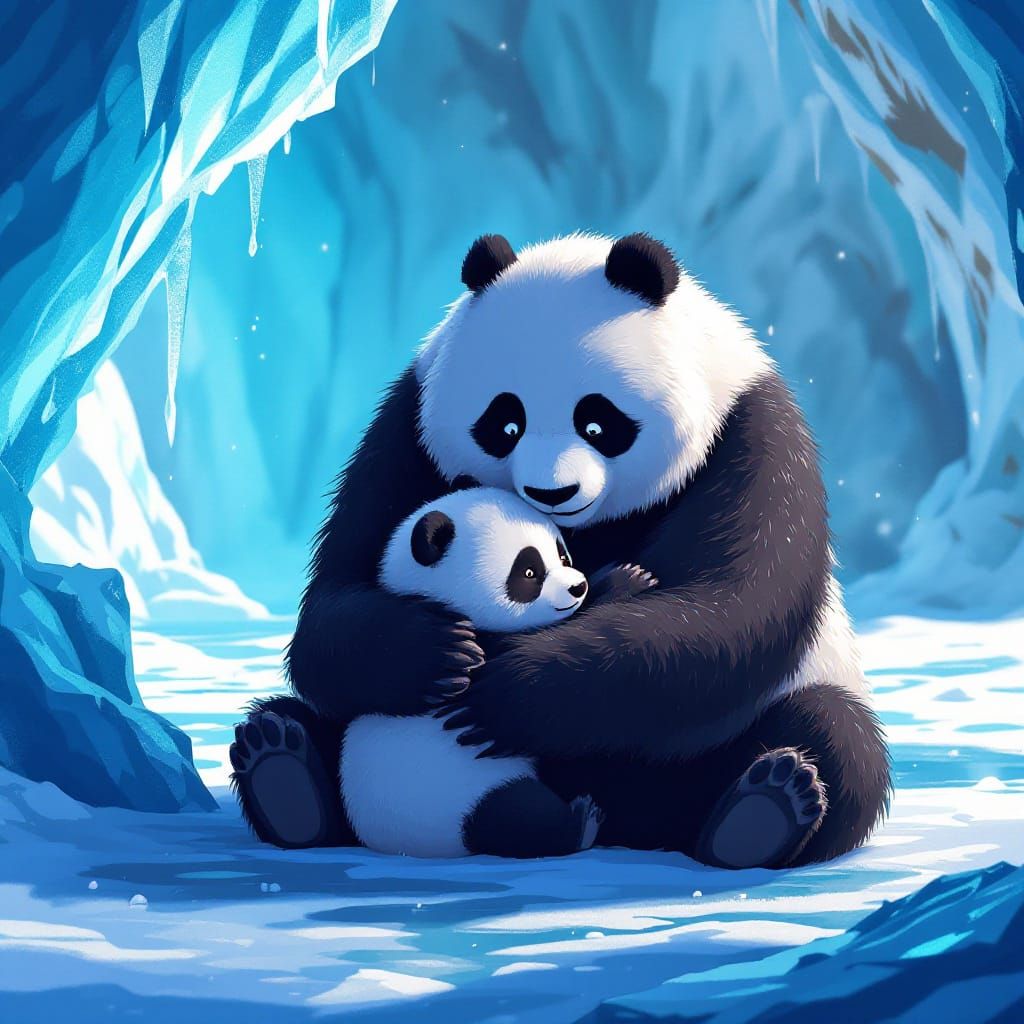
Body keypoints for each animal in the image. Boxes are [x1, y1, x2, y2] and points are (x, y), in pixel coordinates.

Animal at [340, 486, 604, 859]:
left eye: (562, 556)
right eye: (529, 572)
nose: (577, 587)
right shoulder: (473, 647)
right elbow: (529, 648)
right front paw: (624, 580)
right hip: (467, 796)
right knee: (519, 815)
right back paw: (581, 823)